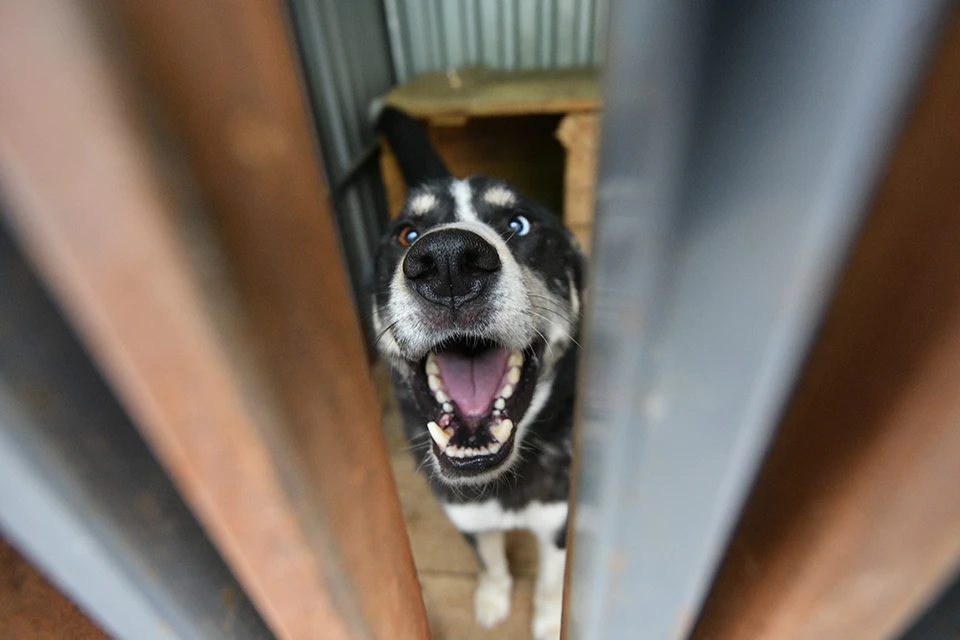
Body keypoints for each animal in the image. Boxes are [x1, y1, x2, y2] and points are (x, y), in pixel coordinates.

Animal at [374, 107, 584, 636]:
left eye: (519, 223)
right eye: (407, 234)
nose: (448, 261)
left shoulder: (560, 520)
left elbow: (550, 581)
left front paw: (549, 621)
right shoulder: (464, 513)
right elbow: (490, 562)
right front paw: (492, 600)